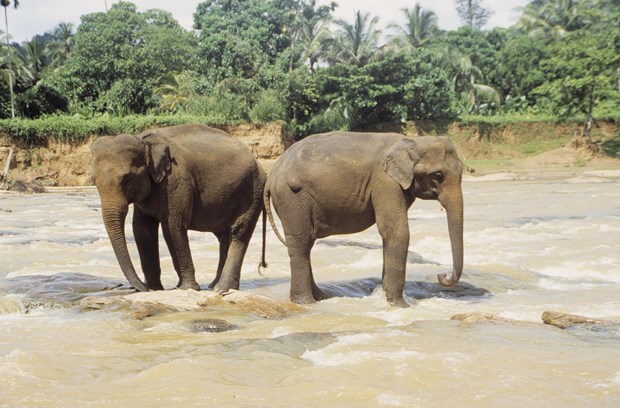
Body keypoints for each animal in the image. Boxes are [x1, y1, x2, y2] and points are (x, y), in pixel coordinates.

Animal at [91, 124, 266, 293]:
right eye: (93, 180)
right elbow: (142, 231)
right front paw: (155, 289)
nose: (141, 288)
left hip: (252, 191)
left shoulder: (176, 181)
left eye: (127, 178)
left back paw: (222, 288)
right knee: (224, 235)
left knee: (239, 231)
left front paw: (186, 288)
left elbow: (172, 227)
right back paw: (213, 285)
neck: (141, 138)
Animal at [264, 131, 464, 307]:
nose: (442, 275)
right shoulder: (384, 181)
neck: (411, 141)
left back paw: (321, 297)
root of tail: (272, 174)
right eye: (438, 176)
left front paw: (385, 297)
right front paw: (400, 306)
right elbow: (395, 231)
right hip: (292, 198)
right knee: (300, 243)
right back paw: (306, 302)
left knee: (307, 244)